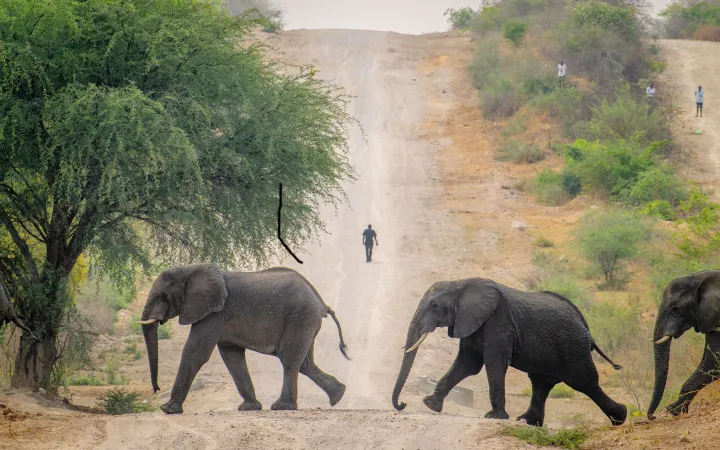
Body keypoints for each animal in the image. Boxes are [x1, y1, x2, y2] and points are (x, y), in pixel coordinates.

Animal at [138, 263, 350, 414]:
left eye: (163, 297)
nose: (156, 389)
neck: (191, 269)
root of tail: (321, 303)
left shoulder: (215, 313)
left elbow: (195, 352)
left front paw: (167, 410)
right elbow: (232, 357)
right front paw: (249, 408)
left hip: (300, 317)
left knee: (289, 359)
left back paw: (282, 407)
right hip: (305, 321)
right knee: (305, 363)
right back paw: (338, 396)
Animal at [392, 277, 627, 427]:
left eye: (434, 305)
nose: (402, 404)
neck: (459, 284)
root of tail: (586, 326)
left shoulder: (499, 323)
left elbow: (493, 364)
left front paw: (494, 417)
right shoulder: (471, 322)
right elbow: (466, 364)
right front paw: (430, 405)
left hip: (573, 348)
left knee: (585, 382)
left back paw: (620, 417)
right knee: (541, 383)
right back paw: (526, 421)